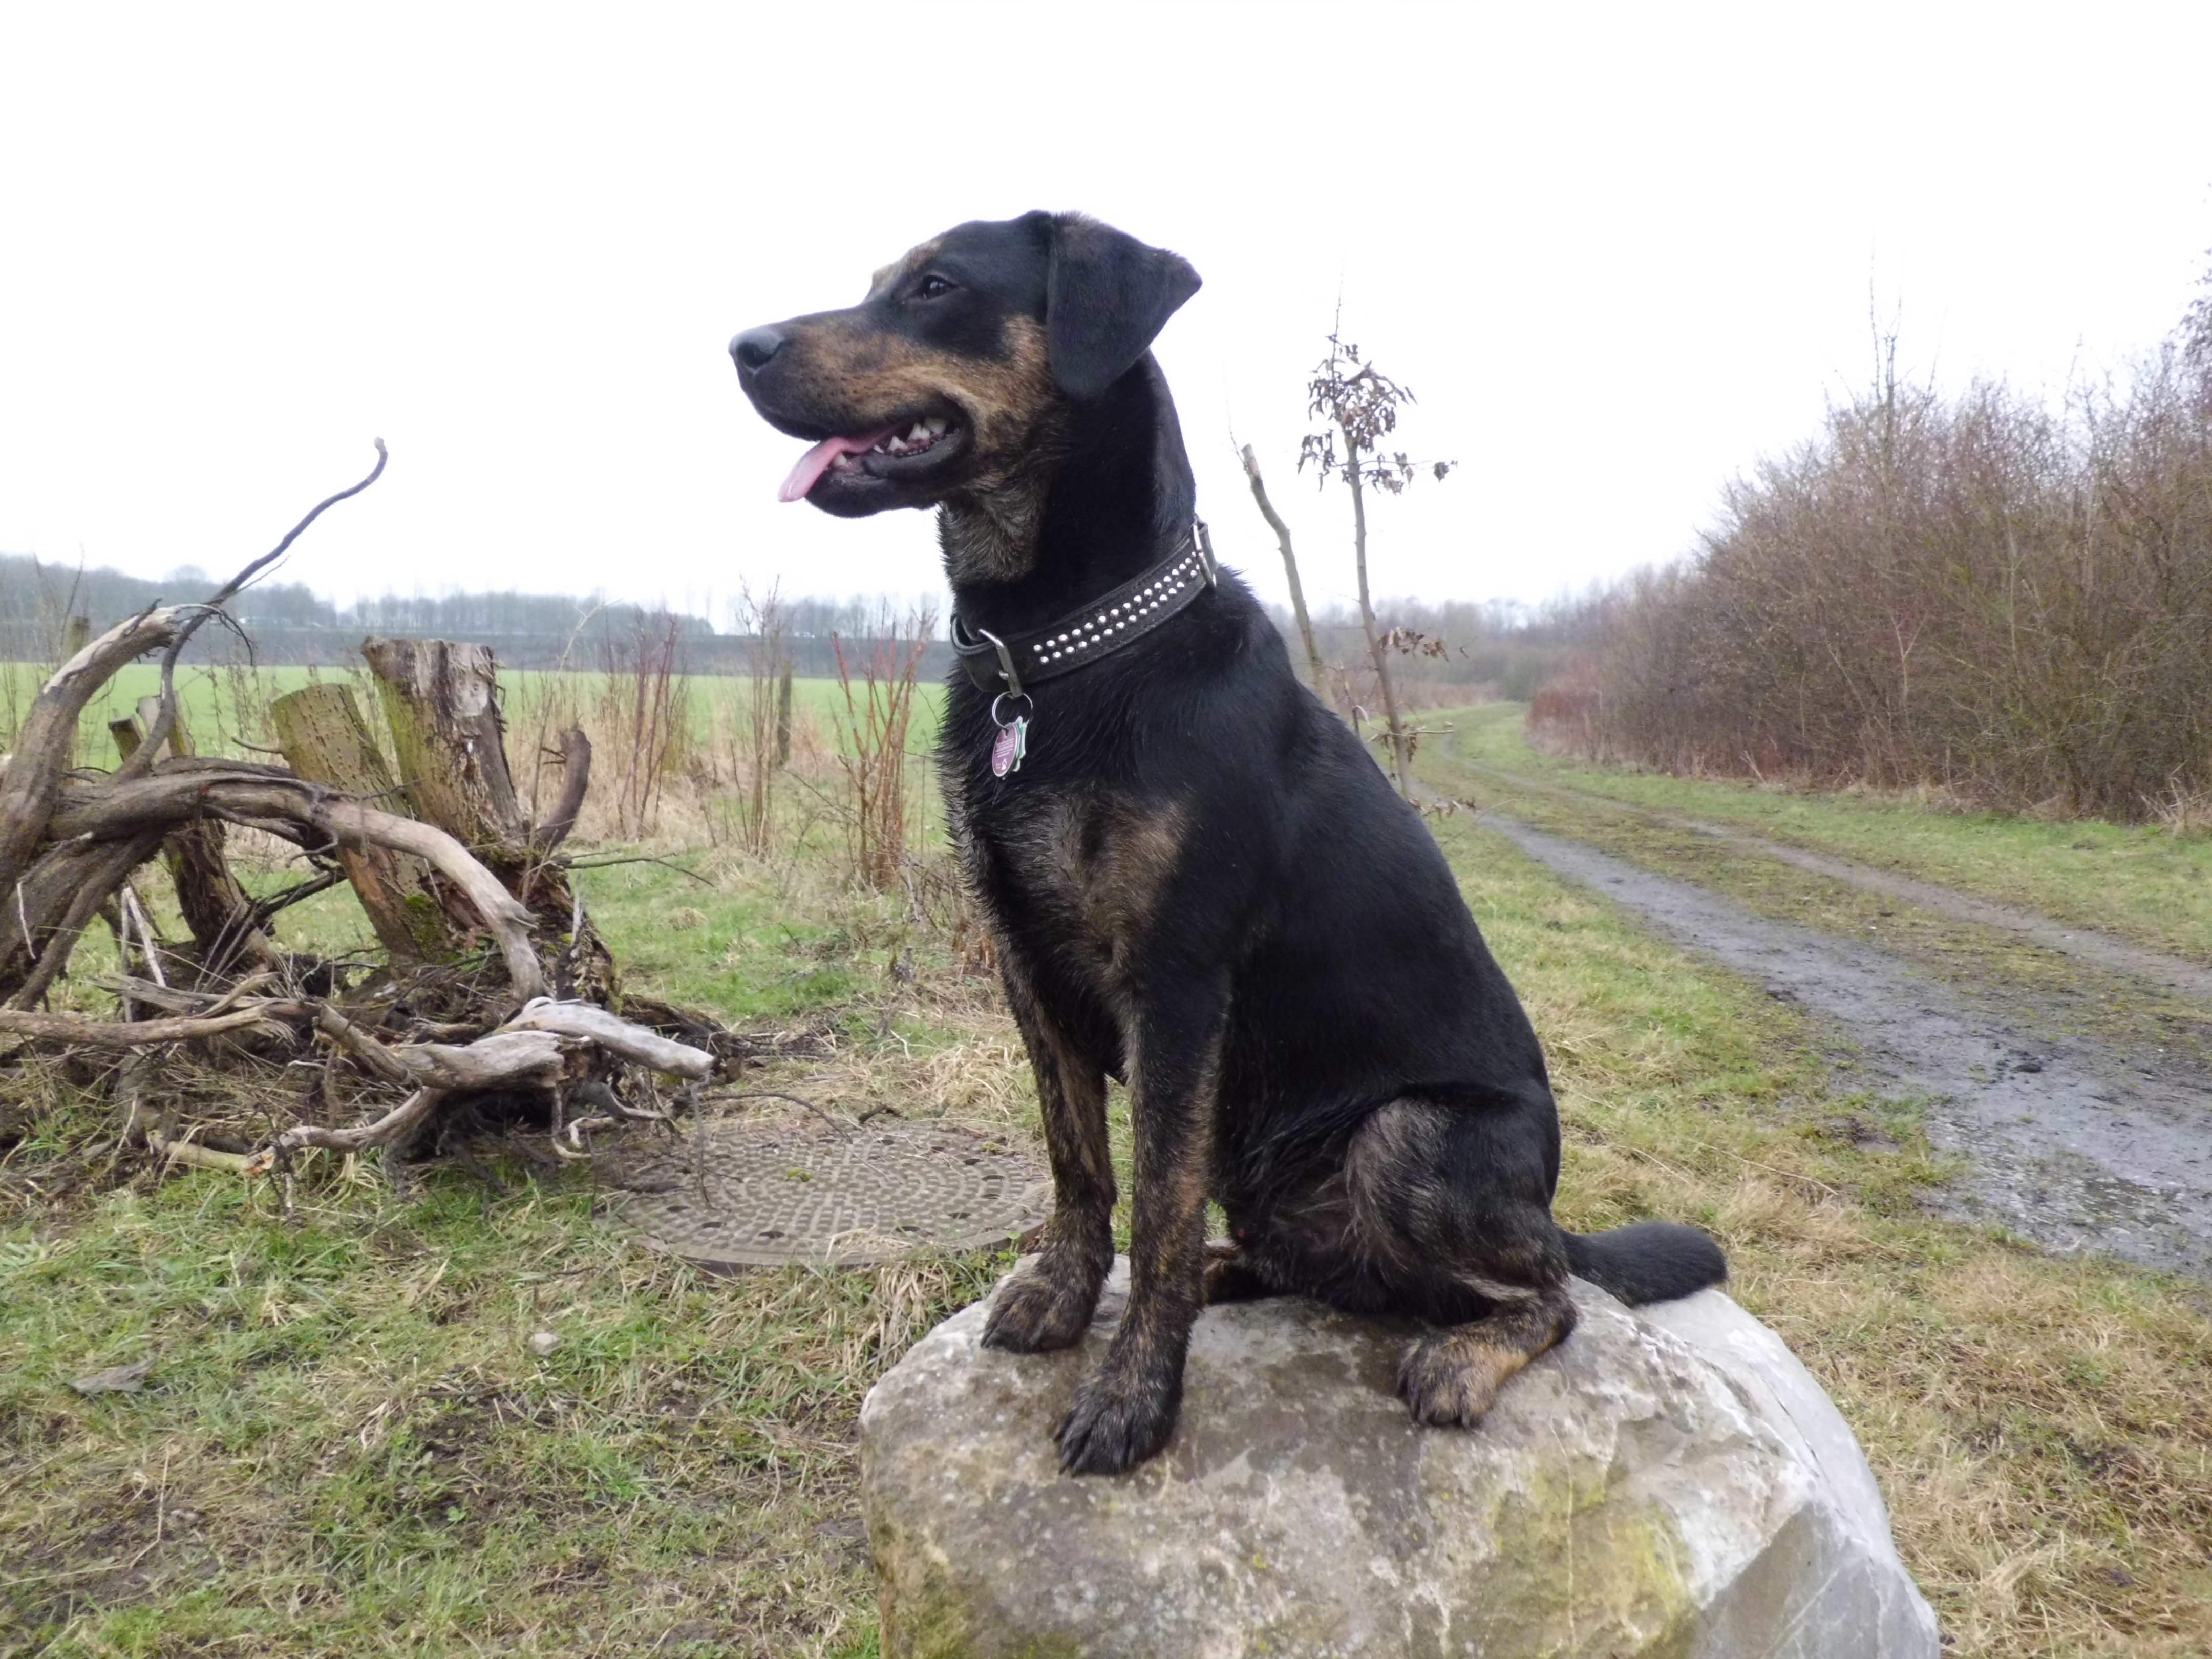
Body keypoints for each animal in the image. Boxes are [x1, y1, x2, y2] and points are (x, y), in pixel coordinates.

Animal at [730, 215, 1725, 1477]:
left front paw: (1133, 1398)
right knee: (1342, 1273)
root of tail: (1548, 1209)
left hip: (1407, 1137)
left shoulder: (1178, 984)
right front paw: (1064, 1297)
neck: (1059, 654)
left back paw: (1460, 1356)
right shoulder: (1026, 965)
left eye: (937, 286)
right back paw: (1235, 1275)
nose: (742, 348)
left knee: (1551, 1296)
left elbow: (1157, 1200)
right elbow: (1078, 1163)